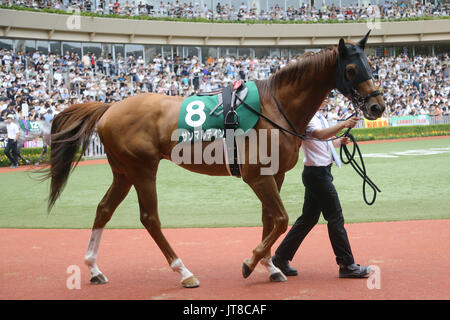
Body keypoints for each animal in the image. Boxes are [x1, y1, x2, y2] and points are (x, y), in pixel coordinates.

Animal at [44, 33, 384, 288]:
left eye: (371, 64)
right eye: (351, 69)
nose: (378, 106)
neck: (274, 107)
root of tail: (110, 107)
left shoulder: (274, 175)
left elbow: (269, 220)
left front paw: (271, 267)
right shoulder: (256, 176)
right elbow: (281, 219)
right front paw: (250, 263)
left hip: (123, 171)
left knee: (104, 209)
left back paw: (94, 269)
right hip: (142, 169)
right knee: (150, 218)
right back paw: (183, 272)